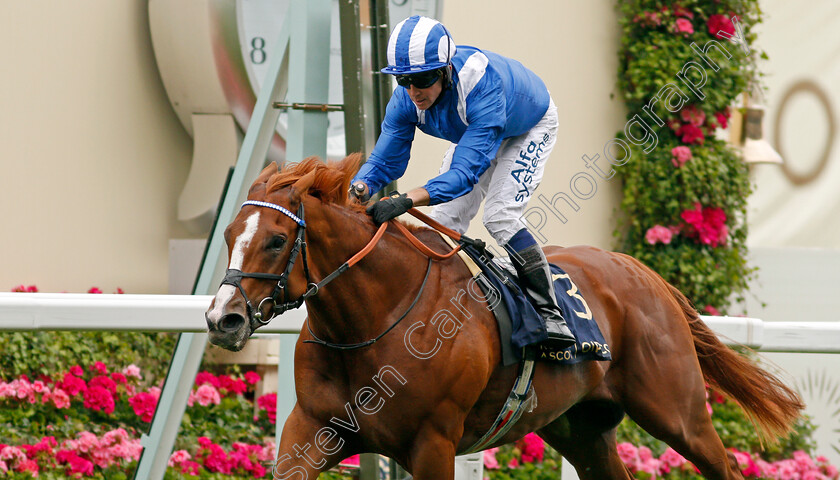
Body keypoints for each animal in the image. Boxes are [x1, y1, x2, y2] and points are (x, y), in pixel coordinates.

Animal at [207, 155, 804, 480]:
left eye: (277, 240)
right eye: (230, 234)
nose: (222, 319)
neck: (374, 322)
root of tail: (642, 272)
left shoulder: (433, 443)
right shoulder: (312, 429)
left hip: (677, 411)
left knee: (723, 464)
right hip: (582, 428)